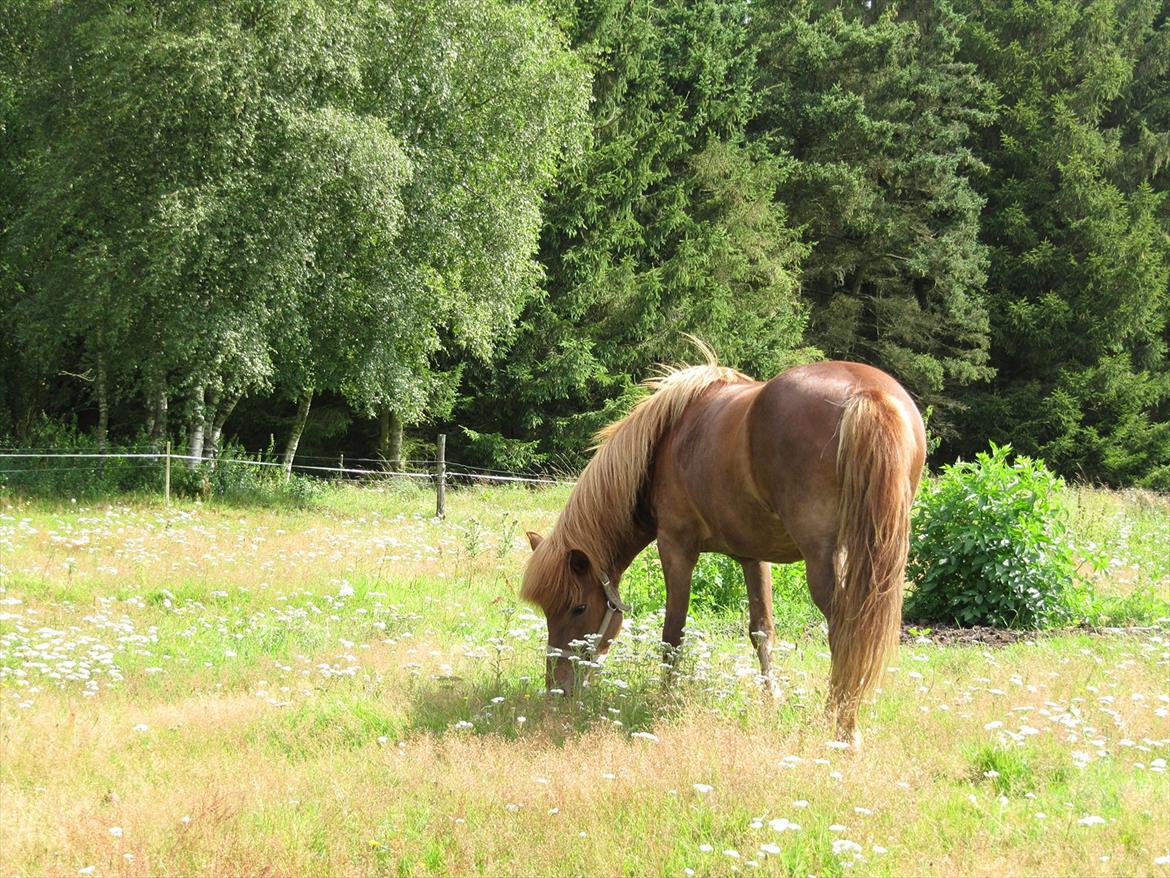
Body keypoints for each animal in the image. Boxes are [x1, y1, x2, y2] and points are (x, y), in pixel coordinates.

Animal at [521, 353, 921, 744]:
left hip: (824, 557)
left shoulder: (676, 546)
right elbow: (762, 631)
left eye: (578, 608)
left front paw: (665, 700)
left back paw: (842, 727)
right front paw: (770, 700)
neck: (662, 443)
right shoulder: (753, 556)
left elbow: (673, 634)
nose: (557, 690)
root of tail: (868, 395)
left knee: (846, 634)